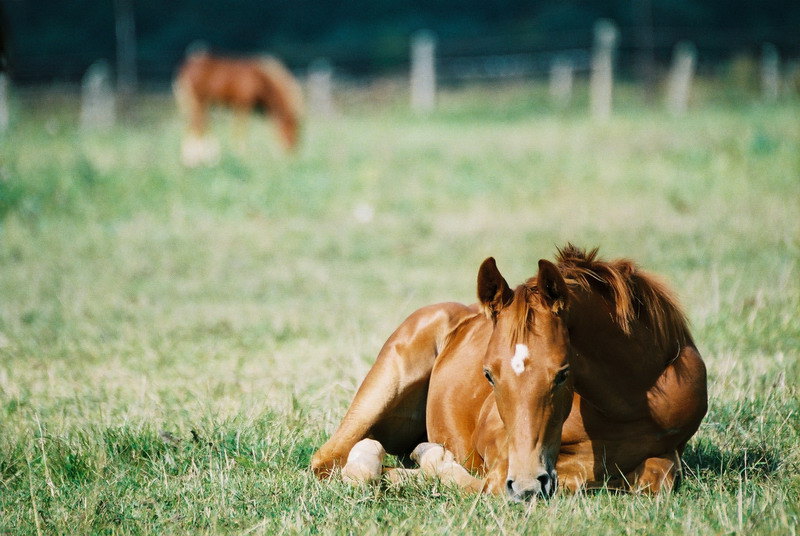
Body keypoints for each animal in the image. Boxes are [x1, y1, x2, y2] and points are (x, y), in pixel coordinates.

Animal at [173, 52, 302, 166]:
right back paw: (202, 159)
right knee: (199, 124)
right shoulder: (243, 104)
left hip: (197, 102)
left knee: (196, 124)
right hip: (200, 100)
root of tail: (186, 67)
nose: (290, 152)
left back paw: (195, 159)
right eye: (293, 130)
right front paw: (241, 153)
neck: (259, 80)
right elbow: (241, 128)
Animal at [312, 245, 708, 500]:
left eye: (563, 373)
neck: (628, 407)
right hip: (385, 383)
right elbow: (490, 484)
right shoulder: (498, 446)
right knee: (329, 461)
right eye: (488, 374)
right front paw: (430, 460)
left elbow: (653, 479)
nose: (528, 485)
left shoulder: (669, 453)